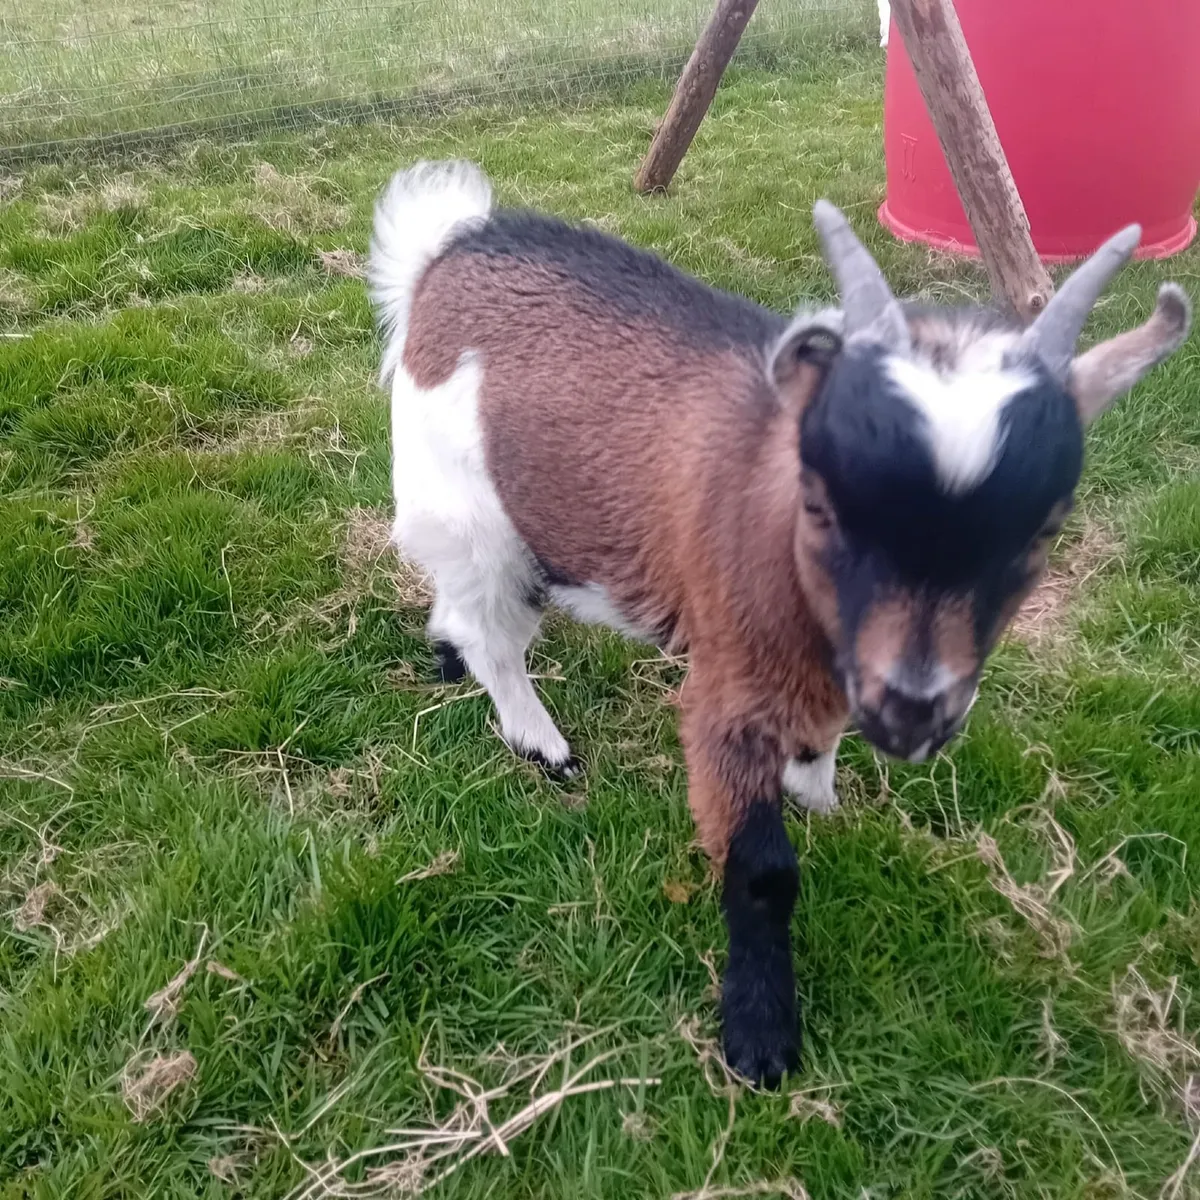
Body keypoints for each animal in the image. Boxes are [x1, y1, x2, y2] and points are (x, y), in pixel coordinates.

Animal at [369, 160, 1191, 1086]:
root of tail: (447, 247)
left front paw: (820, 795)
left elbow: (824, 739)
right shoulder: (730, 695)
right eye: (822, 504)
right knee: (494, 632)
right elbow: (761, 871)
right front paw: (760, 1036)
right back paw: (542, 742)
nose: (914, 712)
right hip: (473, 511)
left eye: (1043, 529)